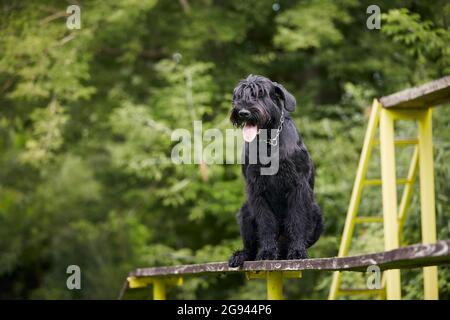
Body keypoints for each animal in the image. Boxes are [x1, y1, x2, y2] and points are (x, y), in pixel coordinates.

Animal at [229, 75, 324, 268]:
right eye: (238, 94)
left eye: (260, 93)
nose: (243, 112)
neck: (268, 140)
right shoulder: (256, 189)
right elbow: (266, 223)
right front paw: (267, 252)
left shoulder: (298, 186)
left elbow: (296, 219)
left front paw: (297, 251)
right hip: (245, 211)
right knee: (250, 247)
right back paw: (241, 255)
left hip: (316, 214)